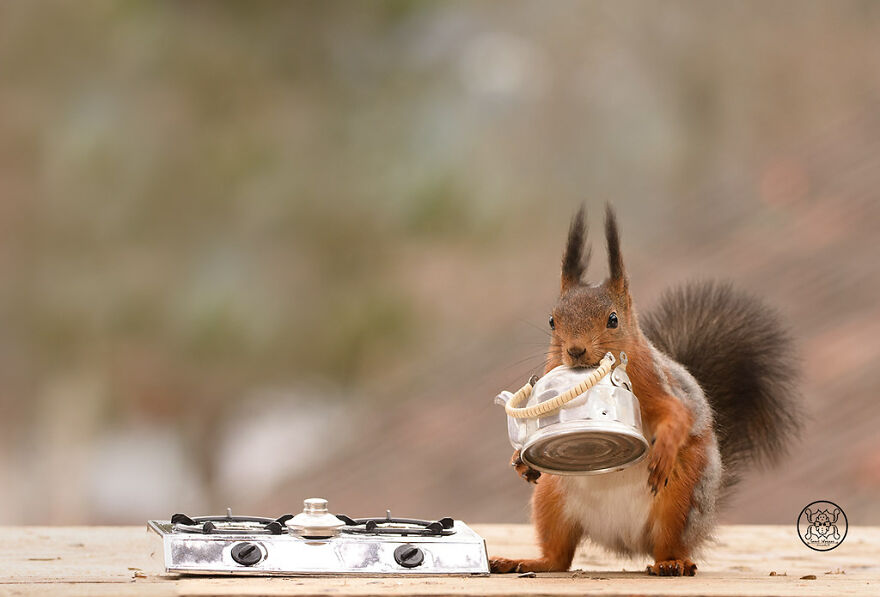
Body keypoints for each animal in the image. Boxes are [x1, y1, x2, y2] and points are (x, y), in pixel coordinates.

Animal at [489, 205, 802, 577]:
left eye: (613, 319)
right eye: (552, 321)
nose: (575, 350)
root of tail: (623, 541)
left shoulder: (655, 382)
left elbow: (677, 414)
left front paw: (663, 448)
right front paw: (517, 460)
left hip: (682, 499)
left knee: (668, 544)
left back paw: (672, 563)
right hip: (551, 497)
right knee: (558, 557)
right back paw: (523, 561)